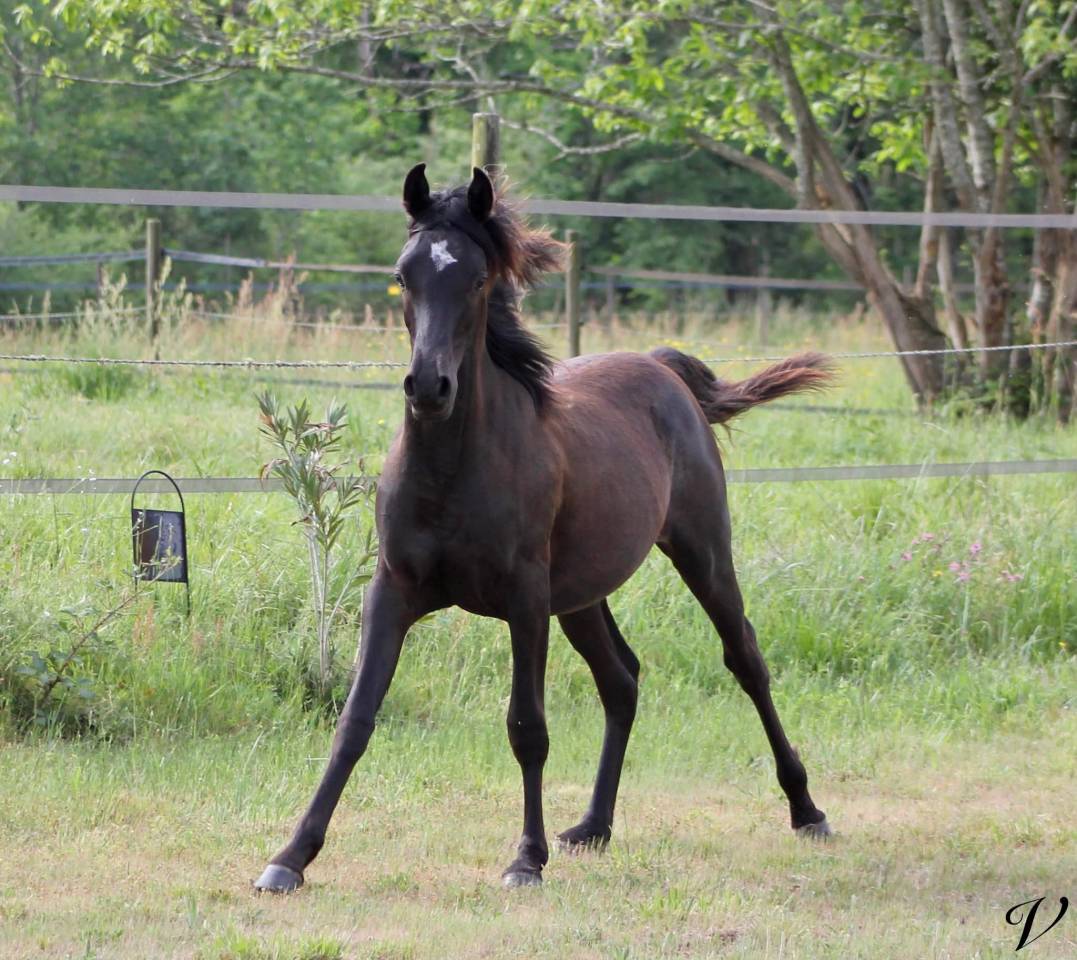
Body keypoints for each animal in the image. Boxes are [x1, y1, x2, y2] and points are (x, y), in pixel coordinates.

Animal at [255, 164, 833, 893]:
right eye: (403, 275)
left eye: (477, 278)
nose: (428, 387)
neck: (453, 470)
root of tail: (661, 368)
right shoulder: (392, 592)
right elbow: (355, 720)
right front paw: (290, 856)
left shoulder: (524, 601)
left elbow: (527, 725)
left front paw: (525, 858)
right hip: (581, 594)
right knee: (621, 679)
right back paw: (592, 827)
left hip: (700, 552)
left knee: (745, 659)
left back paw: (807, 809)